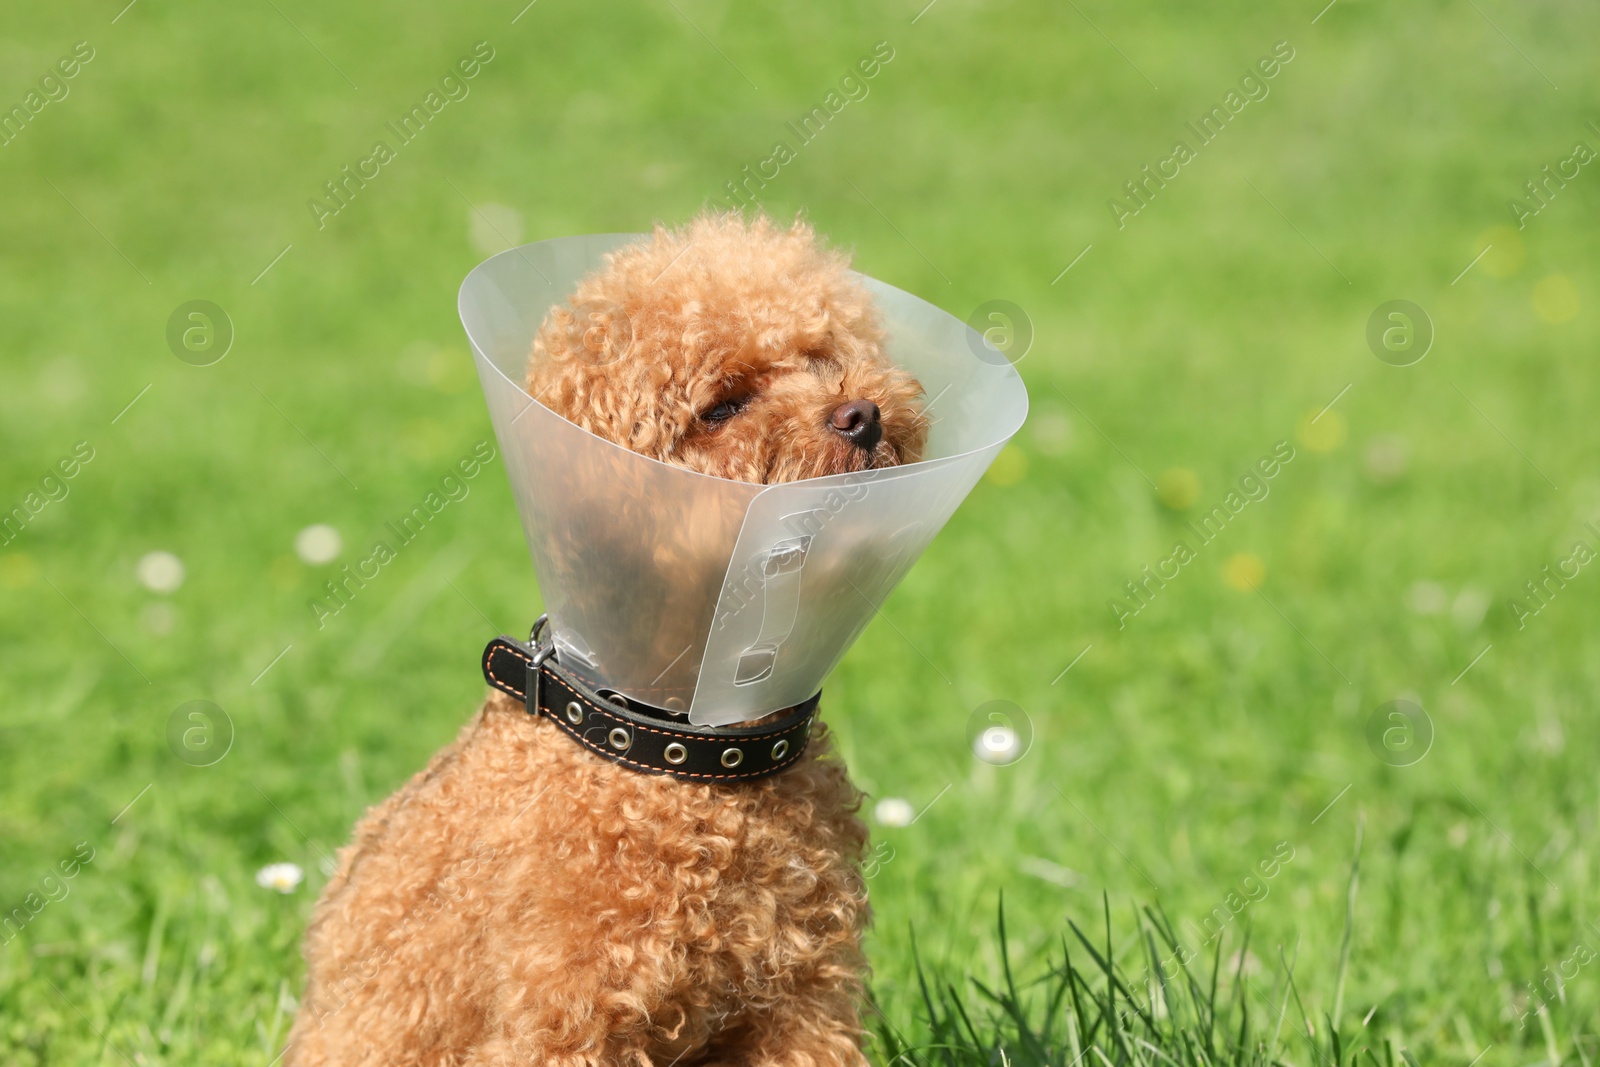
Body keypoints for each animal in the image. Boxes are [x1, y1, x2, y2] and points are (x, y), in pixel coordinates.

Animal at [291, 212, 928, 1062]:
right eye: (721, 406)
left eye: (824, 354)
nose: (862, 412)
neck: (690, 752)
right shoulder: (566, 1013)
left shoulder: (801, 1004)